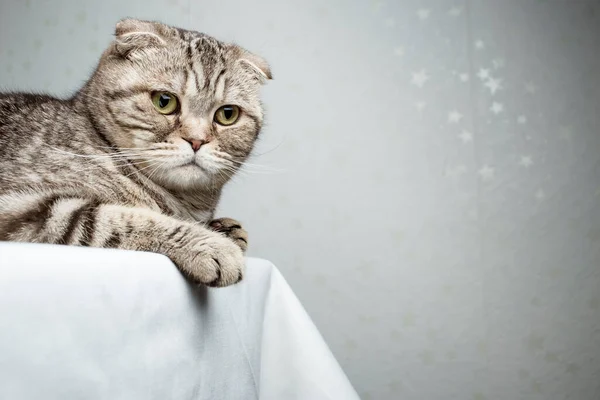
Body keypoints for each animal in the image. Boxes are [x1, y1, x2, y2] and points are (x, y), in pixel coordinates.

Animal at [0, 18, 272, 288]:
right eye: (164, 101)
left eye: (227, 114)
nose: (197, 140)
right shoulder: (23, 207)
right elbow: (115, 220)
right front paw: (213, 243)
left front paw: (226, 229)